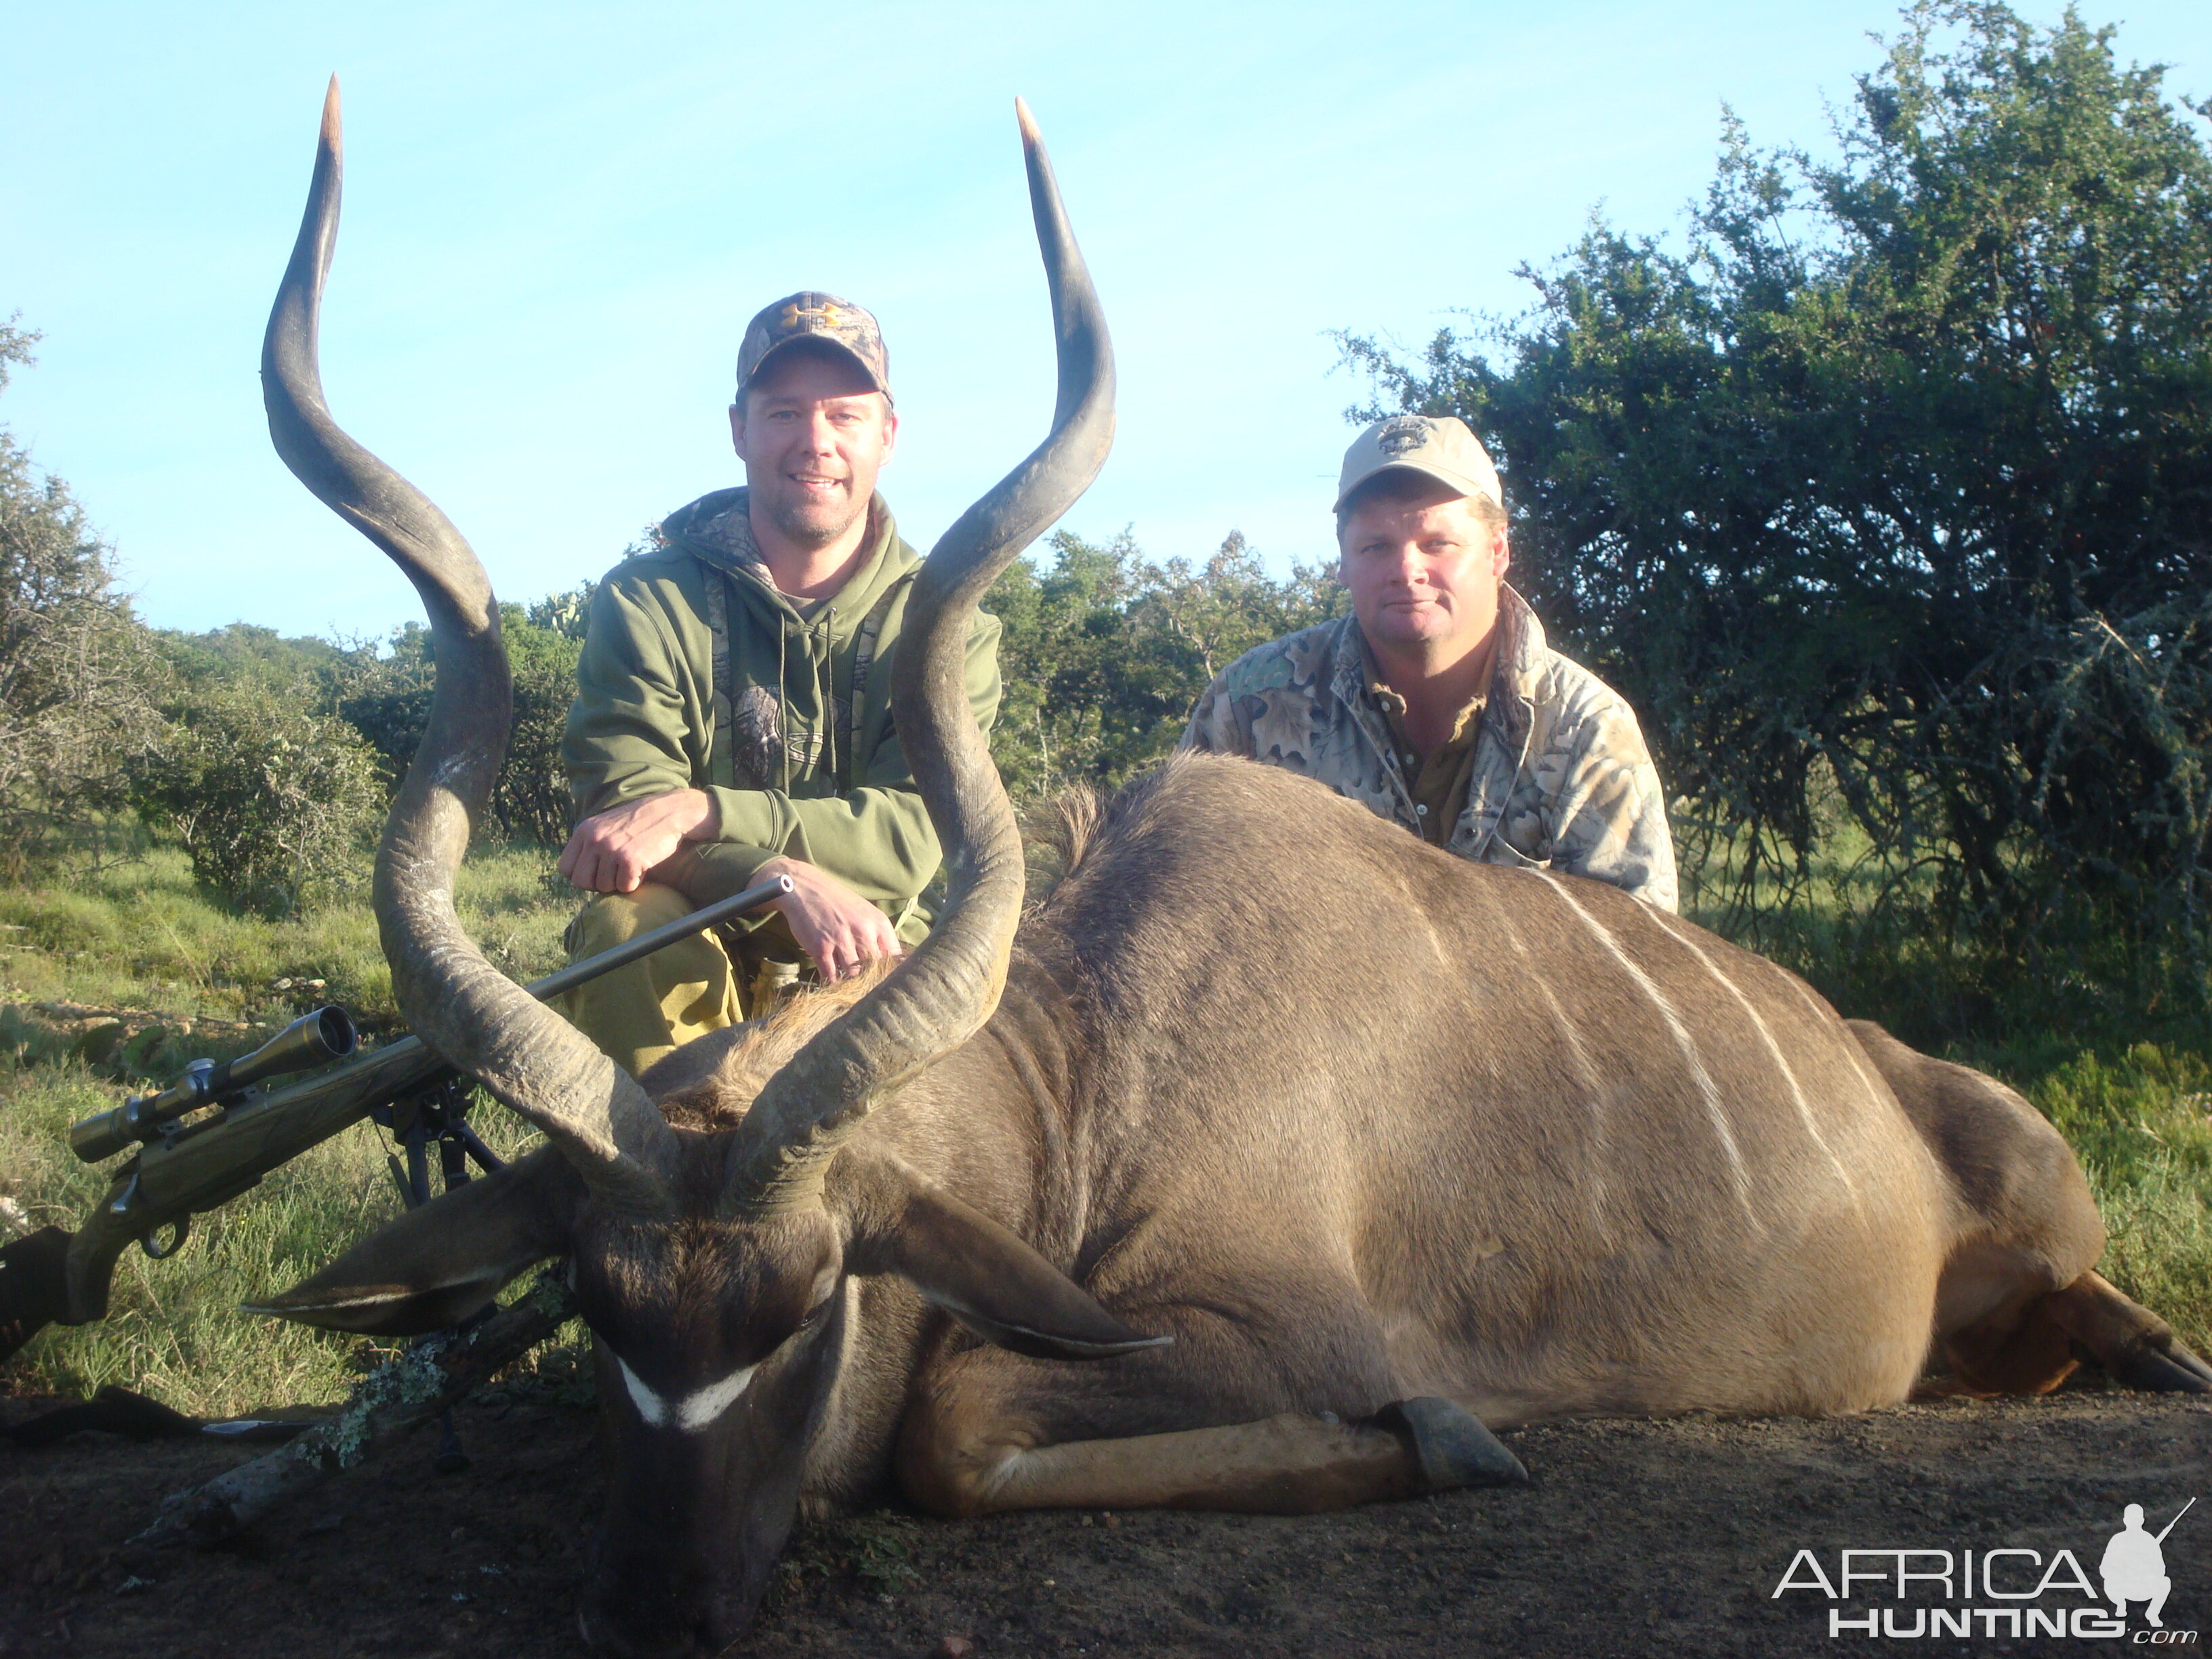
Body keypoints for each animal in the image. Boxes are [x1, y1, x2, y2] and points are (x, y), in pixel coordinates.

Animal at [251, 81, 2203, 1659]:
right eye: (596, 1310)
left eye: (807, 1312)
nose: (656, 1613)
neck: (1091, 1064)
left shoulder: (1292, 1331)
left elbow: (959, 1433)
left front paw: (1454, 1439)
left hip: (2046, 1218)